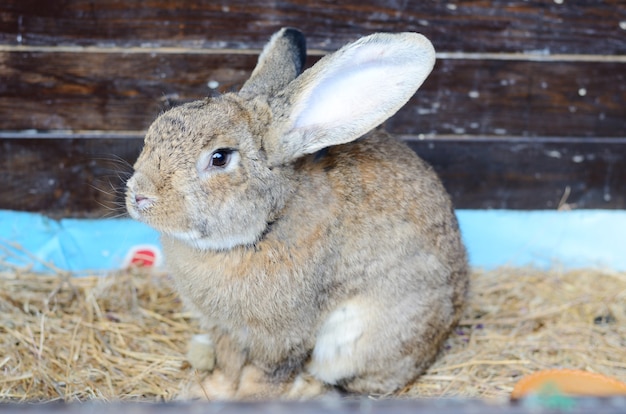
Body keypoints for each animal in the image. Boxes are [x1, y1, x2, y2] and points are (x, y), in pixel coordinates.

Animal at [125, 27, 464, 400]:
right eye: (155, 129)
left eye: (220, 158)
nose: (139, 195)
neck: (266, 226)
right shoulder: (226, 331)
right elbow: (228, 366)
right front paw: (208, 393)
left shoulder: (281, 337)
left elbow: (265, 374)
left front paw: (248, 399)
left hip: (359, 340)